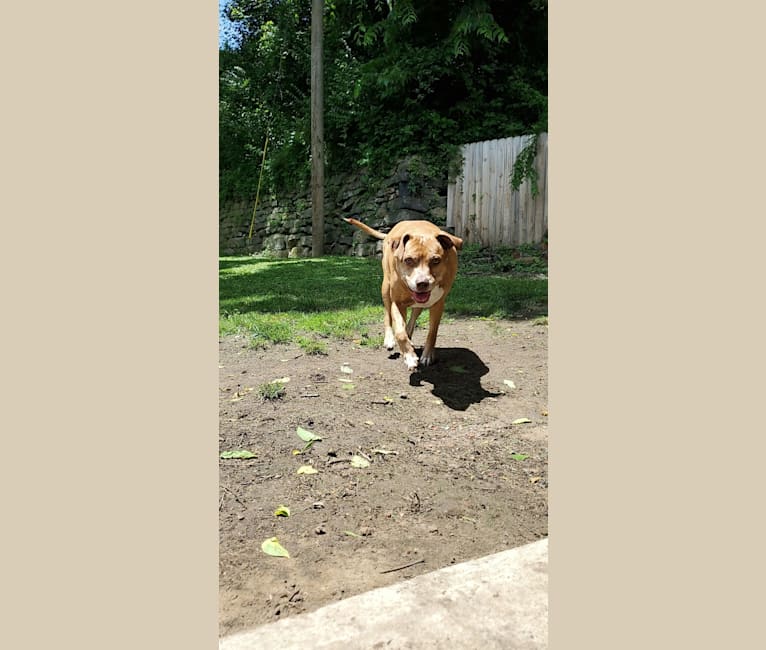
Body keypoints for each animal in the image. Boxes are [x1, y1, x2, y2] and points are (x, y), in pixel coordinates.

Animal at [346, 218, 464, 370]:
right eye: (408, 260)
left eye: (436, 260)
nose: (422, 283)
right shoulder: (397, 303)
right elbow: (399, 333)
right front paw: (409, 357)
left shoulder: (438, 304)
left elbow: (432, 332)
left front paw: (427, 355)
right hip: (385, 289)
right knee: (388, 315)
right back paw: (390, 339)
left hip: (419, 304)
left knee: (413, 316)